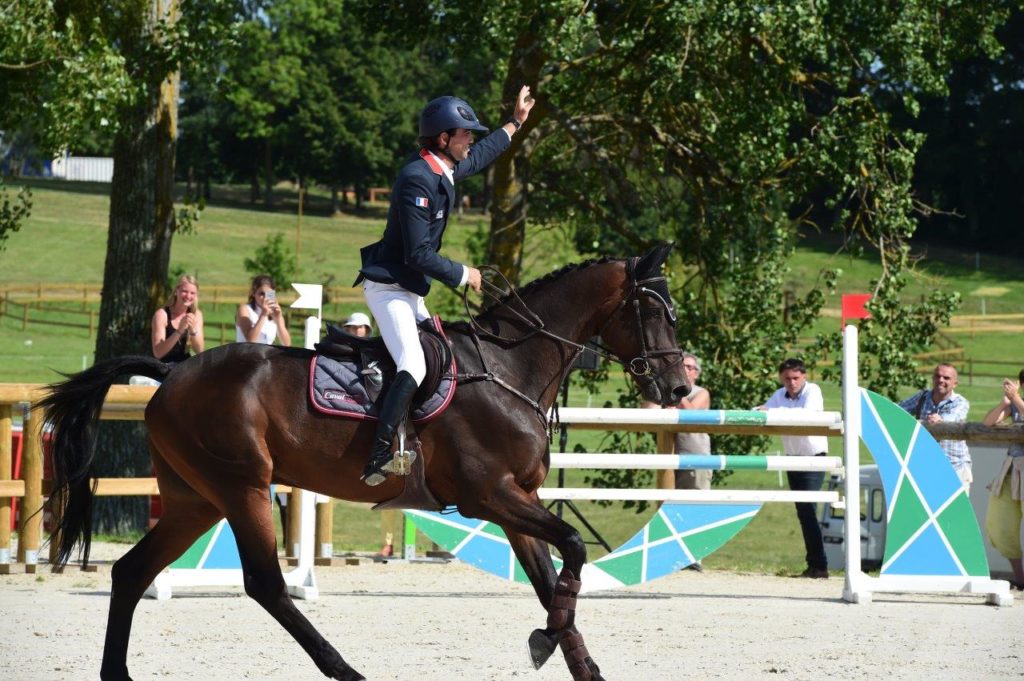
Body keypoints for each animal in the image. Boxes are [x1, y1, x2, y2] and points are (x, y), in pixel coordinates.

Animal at [46, 244, 688, 679]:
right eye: (658, 313)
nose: (680, 387)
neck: (511, 369)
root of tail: (172, 371)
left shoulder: (518, 503)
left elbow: (553, 581)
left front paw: (571, 655)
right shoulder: (489, 496)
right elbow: (574, 550)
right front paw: (544, 641)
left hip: (194, 501)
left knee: (132, 573)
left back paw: (117, 674)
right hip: (241, 488)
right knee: (266, 585)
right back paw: (345, 670)